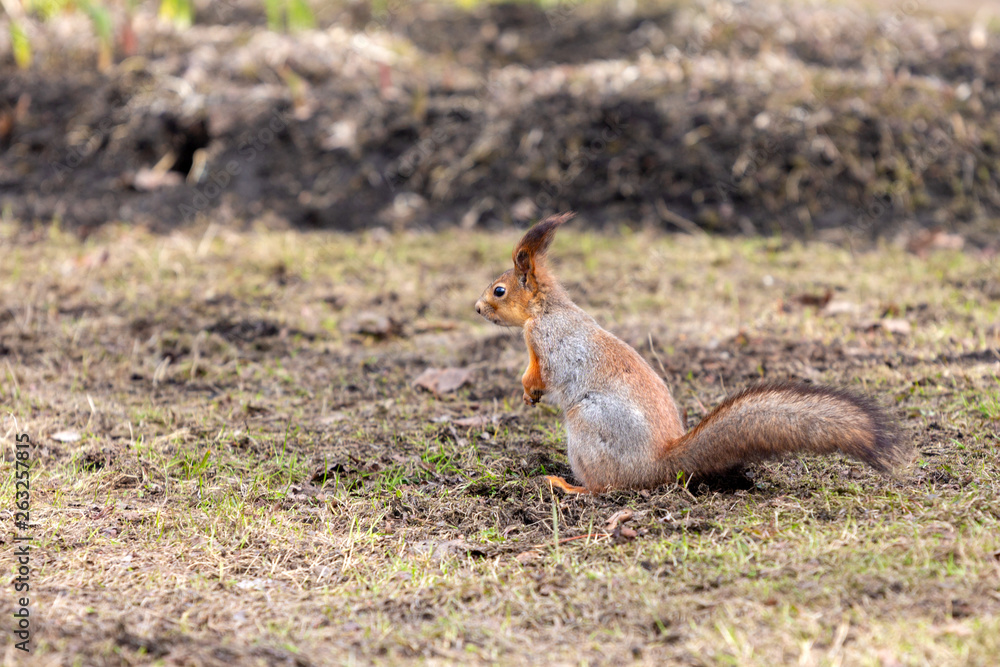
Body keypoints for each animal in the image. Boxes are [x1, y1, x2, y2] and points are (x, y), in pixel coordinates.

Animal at [474, 212, 909, 494]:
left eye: (499, 290)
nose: (477, 309)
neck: (547, 309)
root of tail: (657, 463)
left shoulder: (547, 342)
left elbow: (540, 371)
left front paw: (528, 389)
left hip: (589, 424)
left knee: (607, 488)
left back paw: (568, 486)